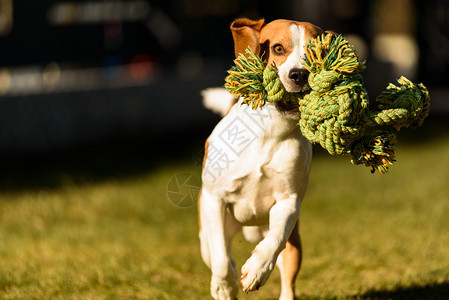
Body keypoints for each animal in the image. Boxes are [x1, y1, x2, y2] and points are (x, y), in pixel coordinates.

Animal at [198, 18, 328, 300]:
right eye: (278, 48)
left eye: (316, 53)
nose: (300, 74)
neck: (271, 130)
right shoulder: (214, 198)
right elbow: (221, 259)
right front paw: (224, 286)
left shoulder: (289, 201)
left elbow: (275, 240)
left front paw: (256, 270)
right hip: (206, 237)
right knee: (218, 253)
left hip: (294, 244)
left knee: (287, 277)